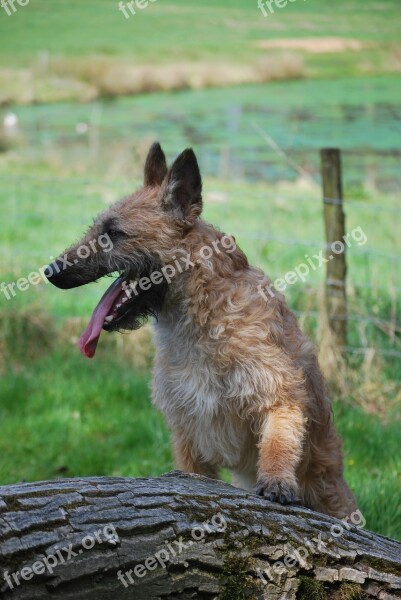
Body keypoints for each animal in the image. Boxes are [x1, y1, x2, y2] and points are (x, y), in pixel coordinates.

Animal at [47, 143, 356, 516]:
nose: (50, 271)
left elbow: (279, 440)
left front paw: (277, 480)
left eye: (113, 234)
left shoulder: (280, 394)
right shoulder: (188, 432)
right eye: (97, 229)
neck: (201, 319)